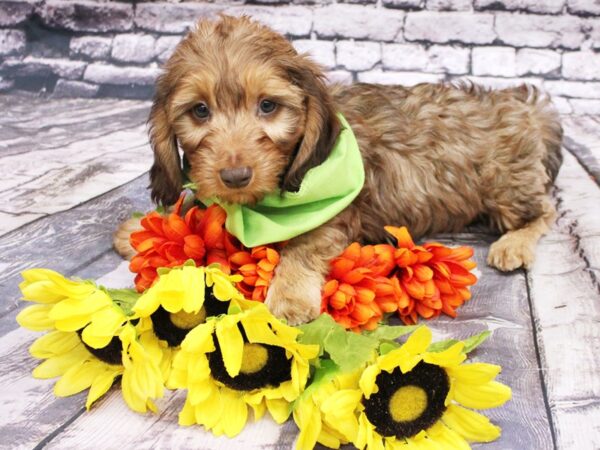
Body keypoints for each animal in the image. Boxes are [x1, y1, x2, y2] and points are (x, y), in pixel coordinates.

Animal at [116, 14, 564, 324]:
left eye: (268, 106)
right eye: (200, 111)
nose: (236, 177)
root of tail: (522, 104)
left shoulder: (335, 217)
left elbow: (301, 245)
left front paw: (289, 294)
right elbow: (198, 207)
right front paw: (142, 227)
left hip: (506, 185)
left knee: (545, 210)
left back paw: (514, 245)